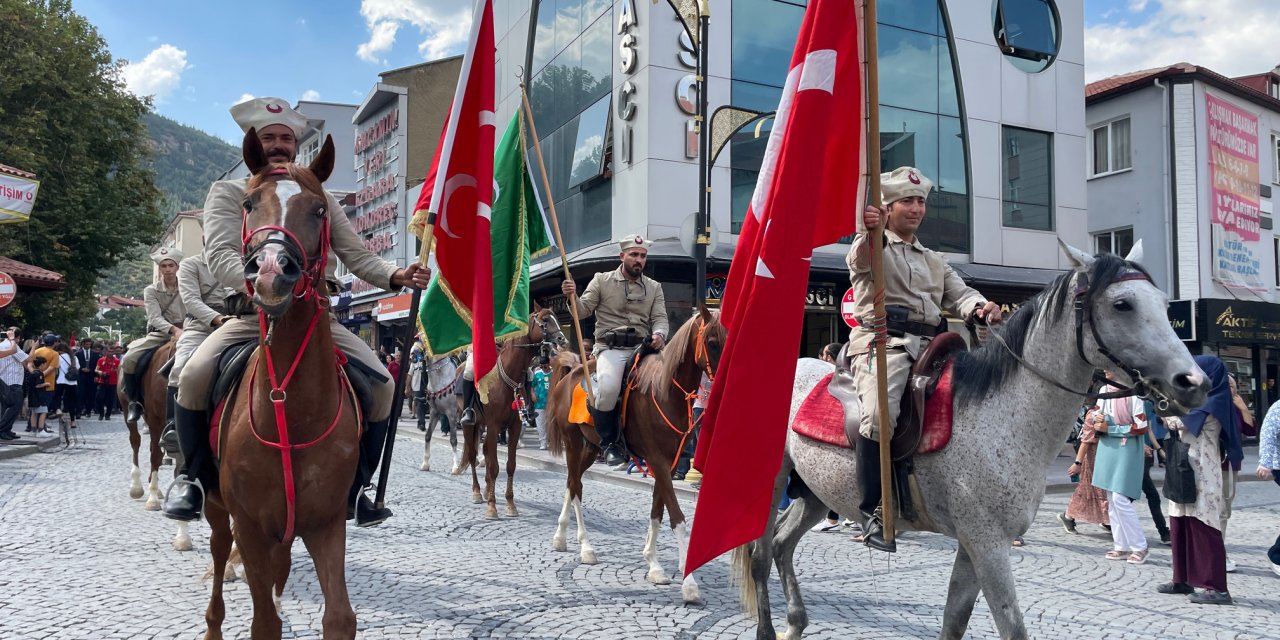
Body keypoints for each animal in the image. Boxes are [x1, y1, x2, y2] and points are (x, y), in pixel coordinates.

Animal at [199, 131, 363, 640]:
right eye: (248, 203)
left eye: (320, 210)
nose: (272, 270)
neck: (291, 408)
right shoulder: (249, 526)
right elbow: (264, 623)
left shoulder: (327, 522)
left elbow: (339, 617)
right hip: (217, 511)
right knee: (219, 555)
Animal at [458, 305, 563, 519]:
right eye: (545, 320)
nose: (562, 338)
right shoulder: (493, 425)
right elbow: (494, 466)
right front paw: (492, 507)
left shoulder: (513, 427)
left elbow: (509, 466)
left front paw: (510, 504)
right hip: (470, 425)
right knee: (473, 455)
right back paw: (477, 492)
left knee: (485, 452)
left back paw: (487, 489)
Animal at [545, 307, 727, 601]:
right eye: (711, 343)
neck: (665, 391)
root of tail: (572, 372)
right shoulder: (658, 461)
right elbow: (677, 516)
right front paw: (689, 584)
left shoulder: (667, 462)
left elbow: (657, 511)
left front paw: (654, 564)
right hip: (573, 445)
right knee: (575, 486)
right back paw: (585, 547)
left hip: (591, 448)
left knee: (573, 485)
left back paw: (562, 536)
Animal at [737, 240, 1203, 640]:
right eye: (1122, 304)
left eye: (1163, 304)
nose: (1193, 383)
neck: (1004, 416)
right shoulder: (988, 543)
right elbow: (1011, 626)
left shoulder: (974, 543)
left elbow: (955, 620)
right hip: (774, 482)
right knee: (760, 556)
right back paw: (768, 629)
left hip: (819, 490)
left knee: (781, 543)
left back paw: (795, 623)